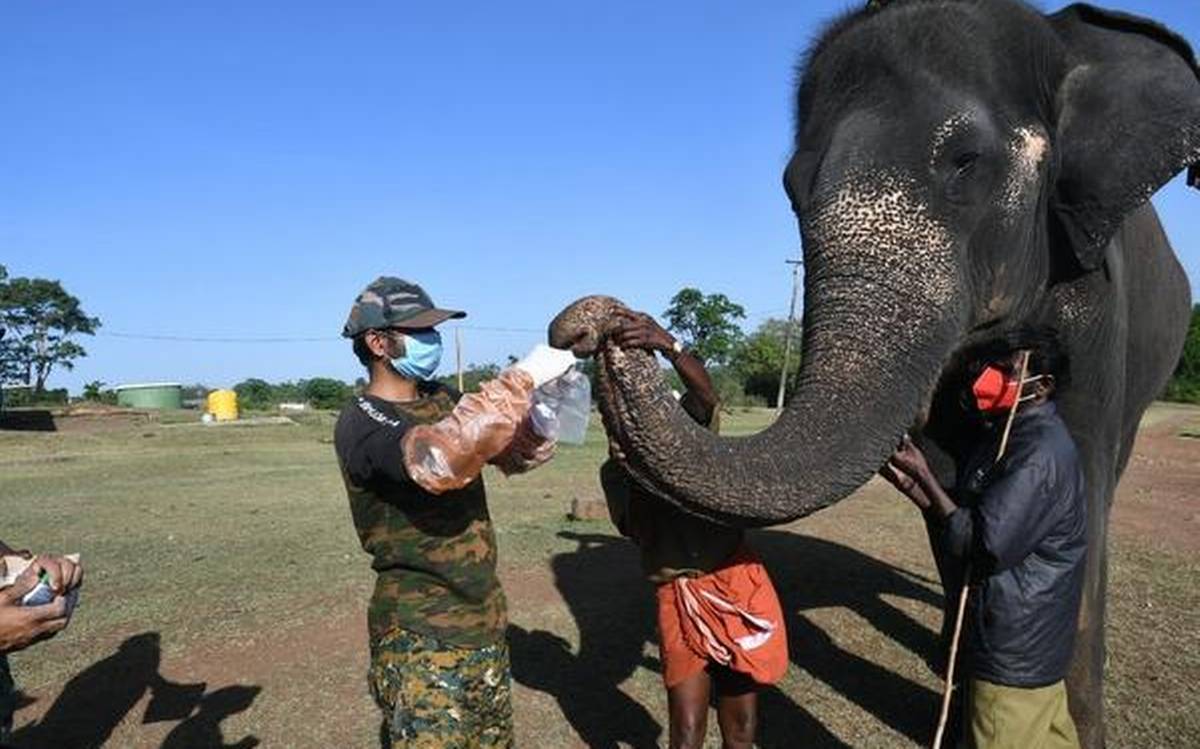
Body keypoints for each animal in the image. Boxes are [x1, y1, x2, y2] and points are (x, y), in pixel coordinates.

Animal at [549, 2, 1200, 744]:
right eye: (791, 188)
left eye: (966, 162)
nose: (594, 324)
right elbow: (957, 484)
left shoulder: (1095, 290)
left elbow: (1078, 477)